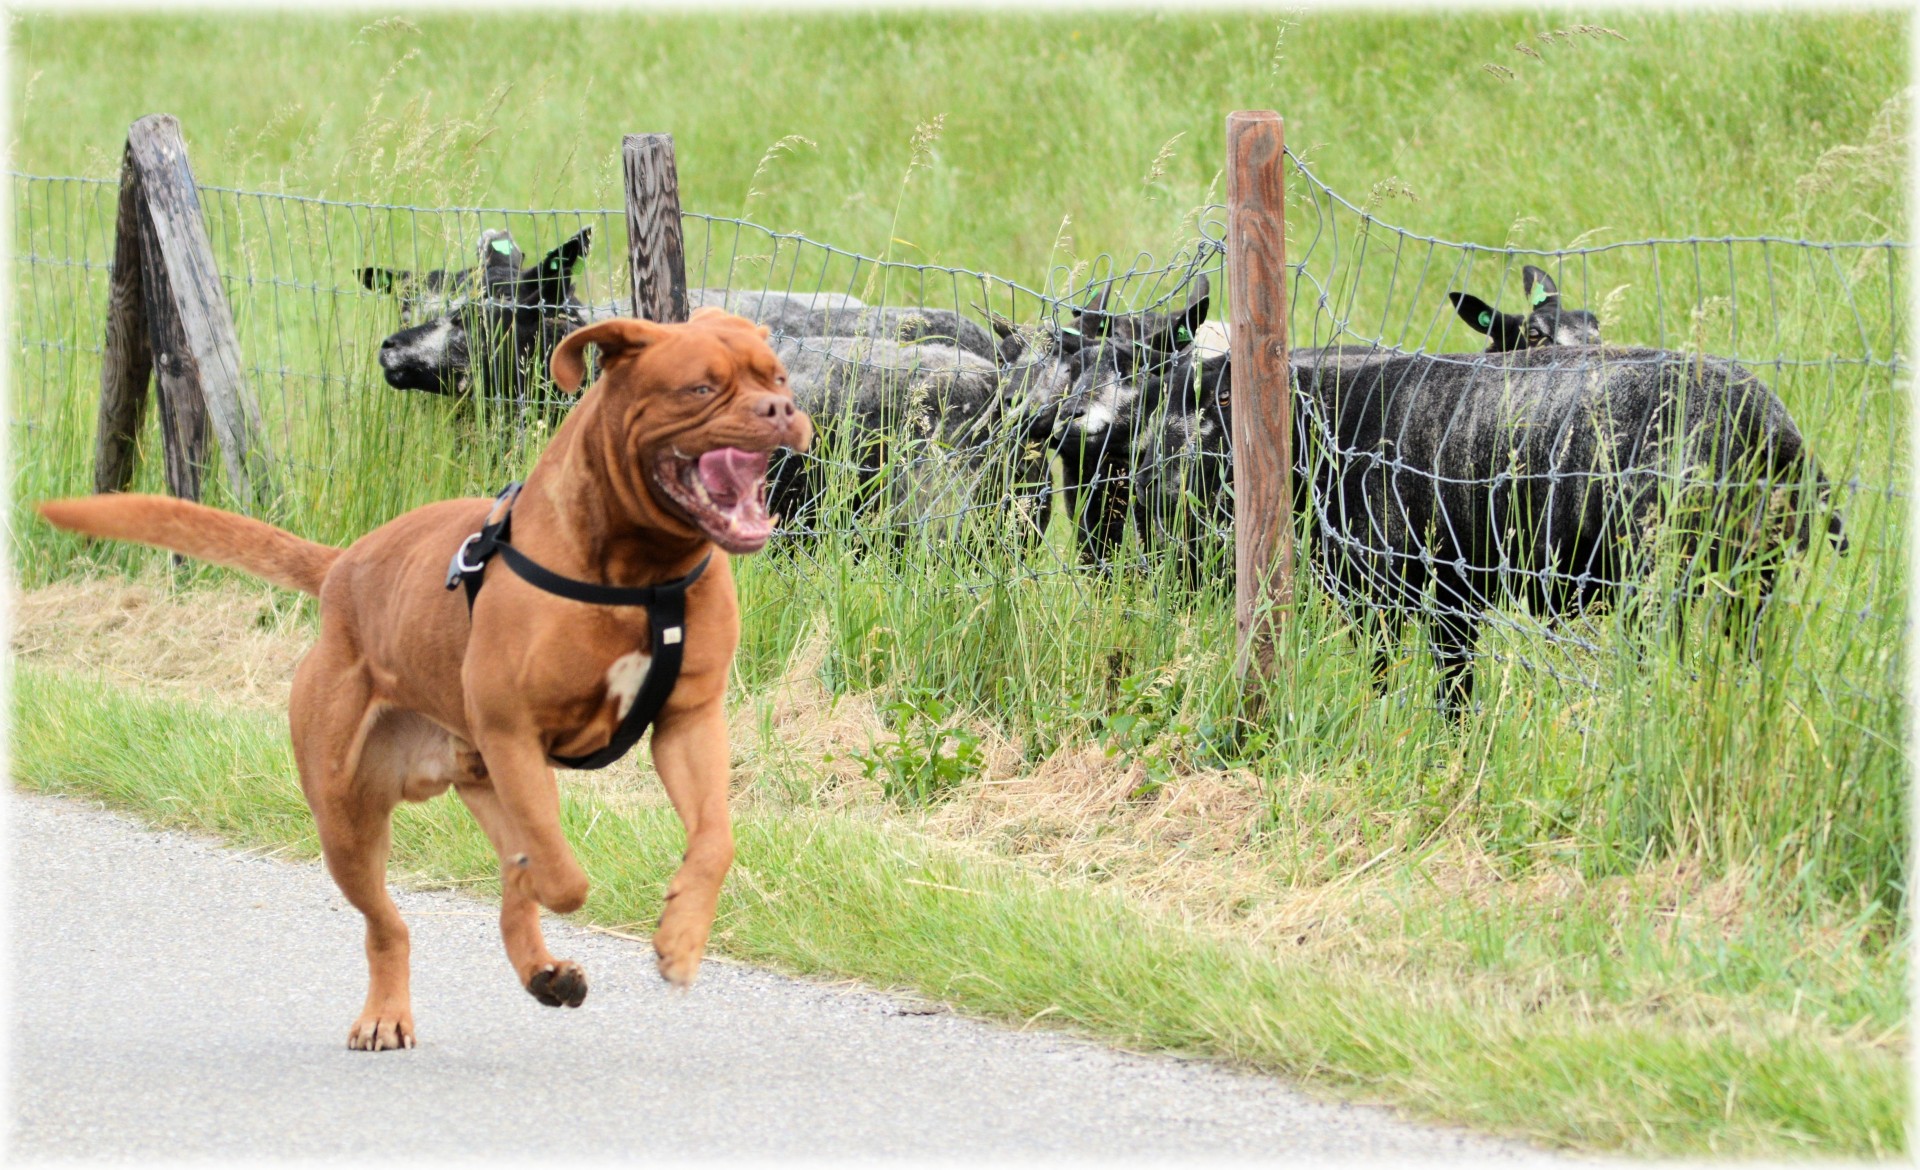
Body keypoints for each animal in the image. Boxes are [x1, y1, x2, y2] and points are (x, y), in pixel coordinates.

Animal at [39, 307, 802, 1052]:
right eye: (700, 388)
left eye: (778, 377)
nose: (782, 409)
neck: (642, 572)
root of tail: (342, 568)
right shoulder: (513, 731)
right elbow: (561, 876)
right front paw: (574, 890)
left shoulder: (688, 721)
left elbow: (713, 841)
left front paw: (682, 938)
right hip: (348, 816)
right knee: (390, 923)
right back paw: (388, 1013)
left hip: (482, 778)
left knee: (507, 878)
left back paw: (543, 970)